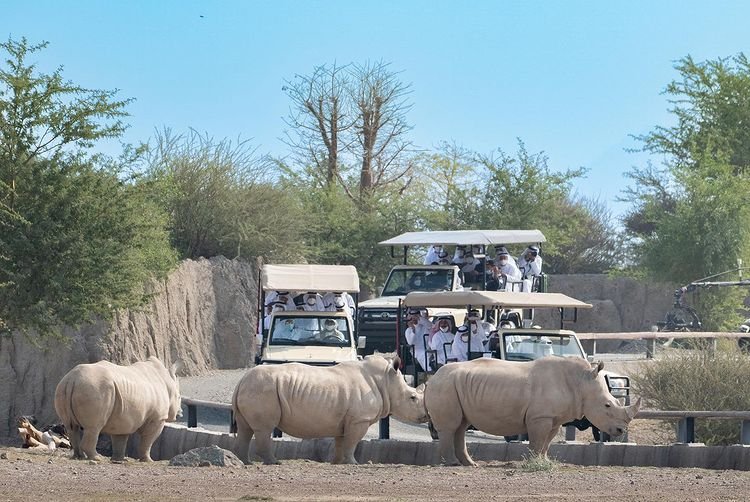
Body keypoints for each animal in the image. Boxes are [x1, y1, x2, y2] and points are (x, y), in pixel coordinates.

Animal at [232, 353, 428, 464]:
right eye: (412, 398)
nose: (426, 415)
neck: (387, 382)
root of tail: (241, 381)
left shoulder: (345, 420)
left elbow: (341, 443)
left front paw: (337, 462)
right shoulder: (360, 419)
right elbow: (352, 442)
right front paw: (354, 463)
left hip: (254, 388)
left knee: (245, 428)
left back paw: (245, 462)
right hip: (263, 389)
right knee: (264, 429)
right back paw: (273, 463)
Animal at [424, 357, 641, 466]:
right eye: (607, 405)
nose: (621, 431)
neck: (581, 382)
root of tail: (432, 377)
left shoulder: (554, 418)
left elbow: (546, 442)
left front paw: (544, 461)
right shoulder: (540, 417)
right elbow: (537, 441)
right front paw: (533, 462)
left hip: (454, 385)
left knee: (461, 426)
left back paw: (470, 464)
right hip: (445, 385)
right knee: (451, 427)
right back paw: (453, 464)